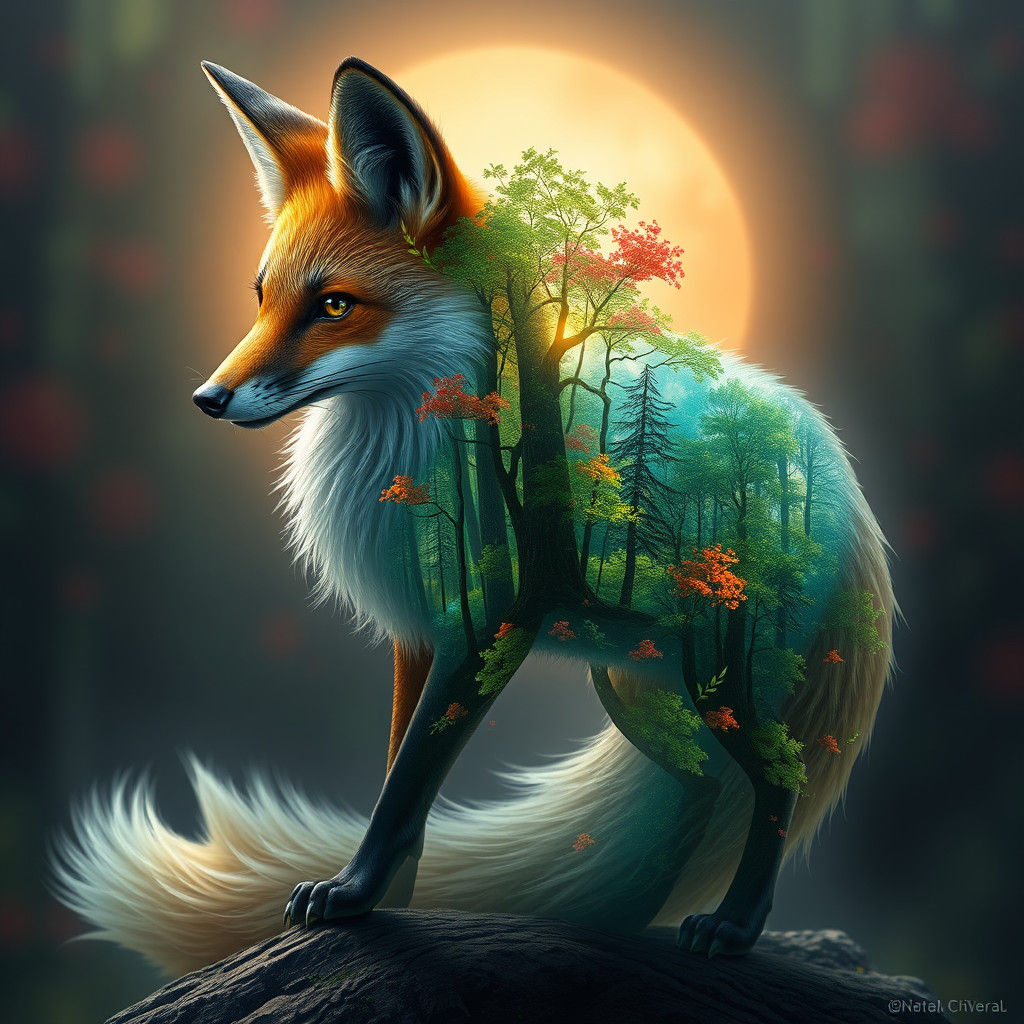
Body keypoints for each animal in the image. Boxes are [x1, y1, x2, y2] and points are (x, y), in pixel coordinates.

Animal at [54, 57, 895, 978]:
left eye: (334, 306)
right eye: (263, 297)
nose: (208, 399)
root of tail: (838, 471)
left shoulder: (490, 627)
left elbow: (407, 786)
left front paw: (353, 894)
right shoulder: (422, 635)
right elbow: (400, 783)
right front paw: (384, 905)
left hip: (723, 675)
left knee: (777, 780)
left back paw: (734, 927)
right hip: (636, 689)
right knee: (700, 788)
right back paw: (626, 915)